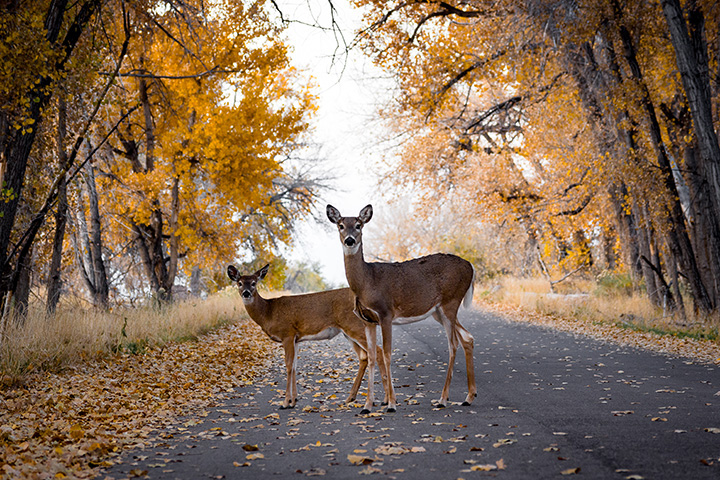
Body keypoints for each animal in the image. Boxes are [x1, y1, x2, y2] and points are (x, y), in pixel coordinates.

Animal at [227, 263, 388, 410]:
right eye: (239, 283)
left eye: (254, 283)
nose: (246, 293)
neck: (268, 312)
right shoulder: (296, 338)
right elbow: (294, 366)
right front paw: (294, 400)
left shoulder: (287, 333)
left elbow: (288, 365)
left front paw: (285, 403)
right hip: (348, 331)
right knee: (364, 356)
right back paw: (351, 398)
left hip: (355, 326)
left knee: (378, 351)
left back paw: (385, 400)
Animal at [326, 204, 476, 413]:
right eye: (340, 225)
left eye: (358, 225)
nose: (349, 240)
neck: (367, 281)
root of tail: (471, 266)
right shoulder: (368, 320)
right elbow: (372, 356)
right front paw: (367, 406)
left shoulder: (386, 313)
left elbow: (387, 353)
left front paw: (391, 404)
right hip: (438, 311)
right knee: (467, 337)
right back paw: (468, 397)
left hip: (450, 302)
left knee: (453, 344)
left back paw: (443, 399)